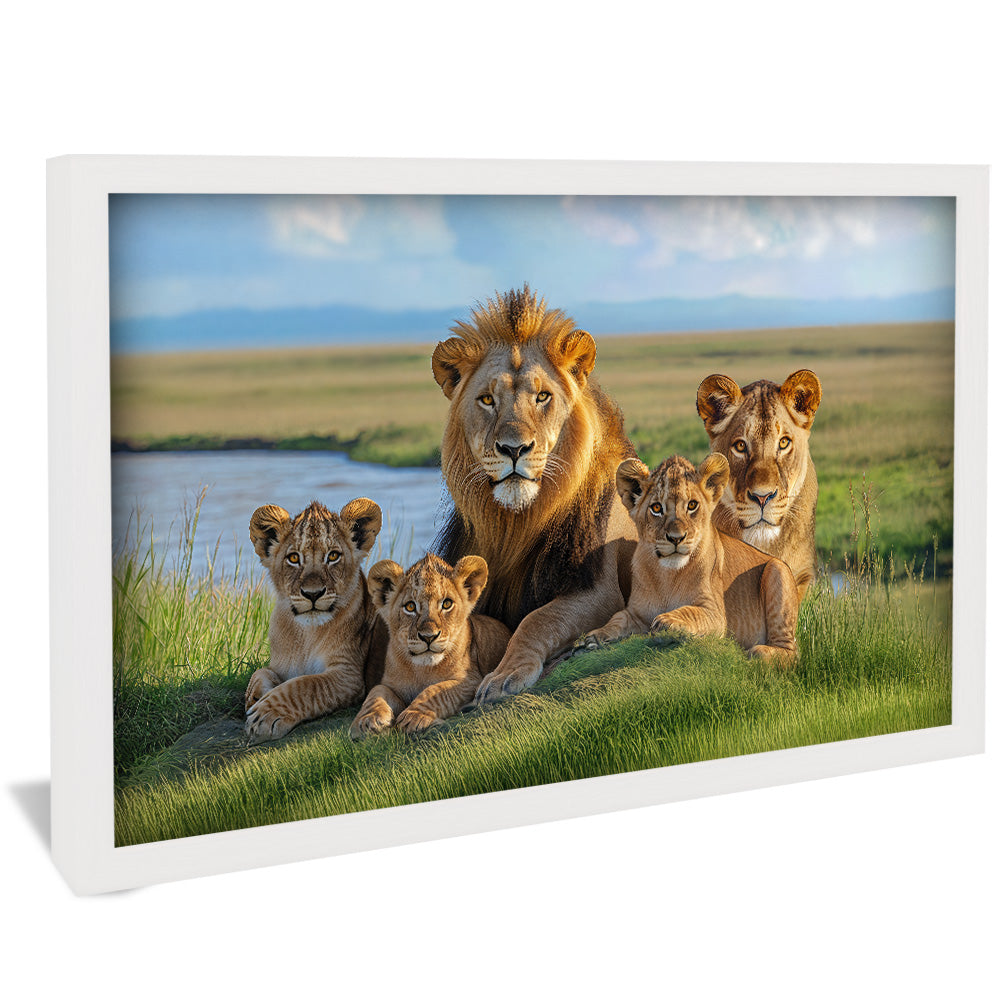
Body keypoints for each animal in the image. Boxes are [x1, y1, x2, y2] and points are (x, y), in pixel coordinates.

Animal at [244, 498, 387, 743]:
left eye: (333, 556)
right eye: (293, 558)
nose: (313, 594)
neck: (306, 634)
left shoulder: (349, 675)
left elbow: (306, 685)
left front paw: (264, 715)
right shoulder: (280, 665)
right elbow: (260, 672)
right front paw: (254, 697)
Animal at [349, 553, 512, 737]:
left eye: (447, 604)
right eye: (410, 606)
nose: (429, 637)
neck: (423, 671)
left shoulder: (472, 681)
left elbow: (437, 690)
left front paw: (414, 716)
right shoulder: (391, 685)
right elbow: (377, 692)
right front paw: (367, 720)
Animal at [431, 285, 638, 703]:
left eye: (542, 397)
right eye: (487, 399)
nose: (514, 449)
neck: (516, 525)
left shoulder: (599, 590)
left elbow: (537, 619)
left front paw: (505, 674)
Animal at [579, 454, 798, 665]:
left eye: (692, 505)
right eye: (656, 508)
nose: (676, 538)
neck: (668, 576)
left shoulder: (715, 613)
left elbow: (691, 612)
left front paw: (667, 622)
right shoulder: (636, 613)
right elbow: (617, 619)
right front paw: (594, 637)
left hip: (778, 569)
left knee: (790, 652)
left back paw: (758, 652)